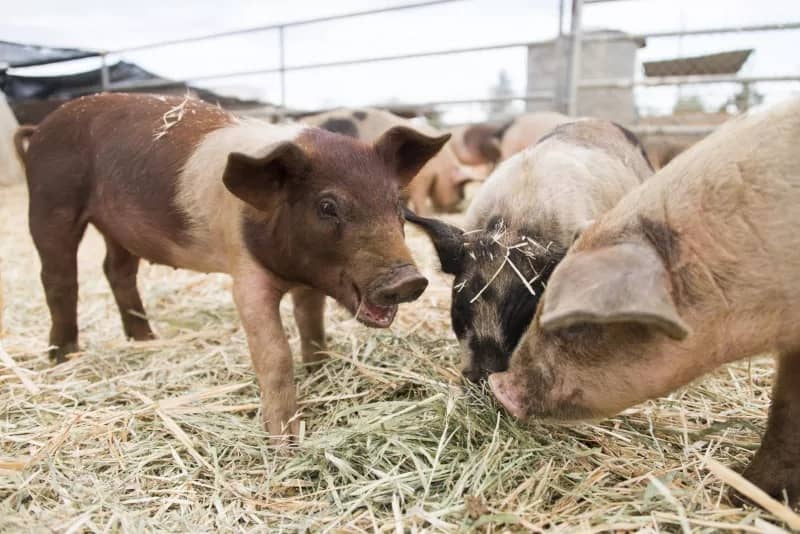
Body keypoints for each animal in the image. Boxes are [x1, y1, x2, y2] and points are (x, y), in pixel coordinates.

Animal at [20, 94, 450, 442]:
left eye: (397, 204)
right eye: (327, 206)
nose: (409, 279)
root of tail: (42, 127)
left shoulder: (310, 280)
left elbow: (312, 325)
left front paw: (319, 368)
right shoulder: (246, 278)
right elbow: (274, 354)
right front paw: (285, 443)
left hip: (118, 227)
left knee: (117, 270)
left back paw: (145, 340)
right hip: (50, 201)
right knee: (58, 278)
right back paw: (63, 357)